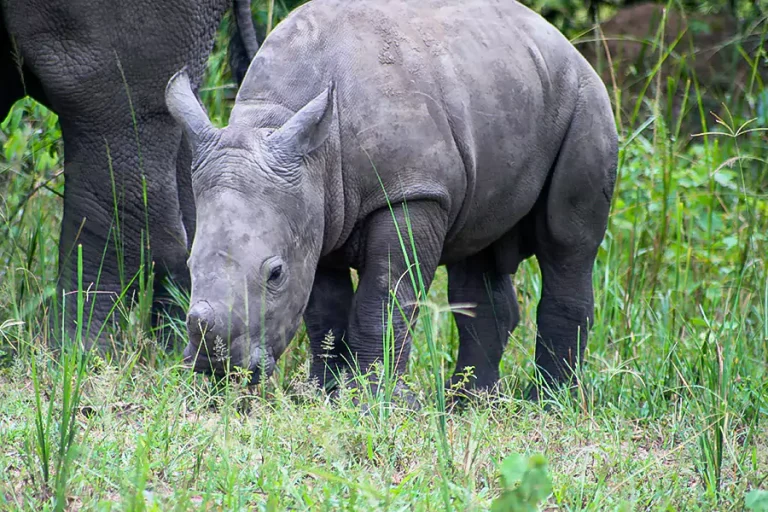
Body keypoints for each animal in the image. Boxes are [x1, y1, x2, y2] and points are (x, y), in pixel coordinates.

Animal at [166, 0, 616, 398]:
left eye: (275, 274)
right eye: (189, 266)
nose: (217, 366)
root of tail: (559, 38)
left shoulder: (412, 191)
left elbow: (383, 298)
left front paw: (377, 399)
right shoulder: (316, 209)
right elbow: (325, 311)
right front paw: (321, 394)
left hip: (583, 99)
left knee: (567, 244)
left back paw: (549, 399)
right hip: (500, 84)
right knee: (478, 250)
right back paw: (469, 401)